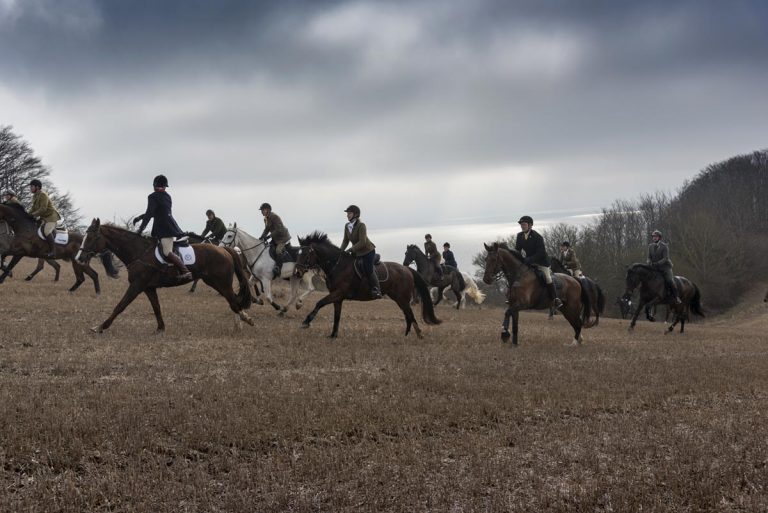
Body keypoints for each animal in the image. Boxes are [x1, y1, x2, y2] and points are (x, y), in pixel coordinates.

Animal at [77, 217, 254, 332]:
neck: (139, 252)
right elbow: (156, 307)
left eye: (92, 237)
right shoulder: (148, 288)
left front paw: (101, 326)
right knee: (234, 300)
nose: (79, 258)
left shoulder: (137, 285)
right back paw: (241, 321)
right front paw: (161, 327)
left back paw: (246, 320)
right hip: (217, 283)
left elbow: (120, 305)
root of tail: (223, 249)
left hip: (221, 283)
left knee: (234, 301)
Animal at [294, 231, 440, 336]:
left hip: (402, 298)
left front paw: (306, 322)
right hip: (399, 298)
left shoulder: (338, 293)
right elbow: (337, 316)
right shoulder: (338, 297)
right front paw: (333, 335)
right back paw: (408, 334)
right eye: (298, 253)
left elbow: (319, 303)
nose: (298, 272)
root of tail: (406, 269)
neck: (337, 265)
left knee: (409, 314)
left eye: (306, 254)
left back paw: (417, 334)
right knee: (407, 314)